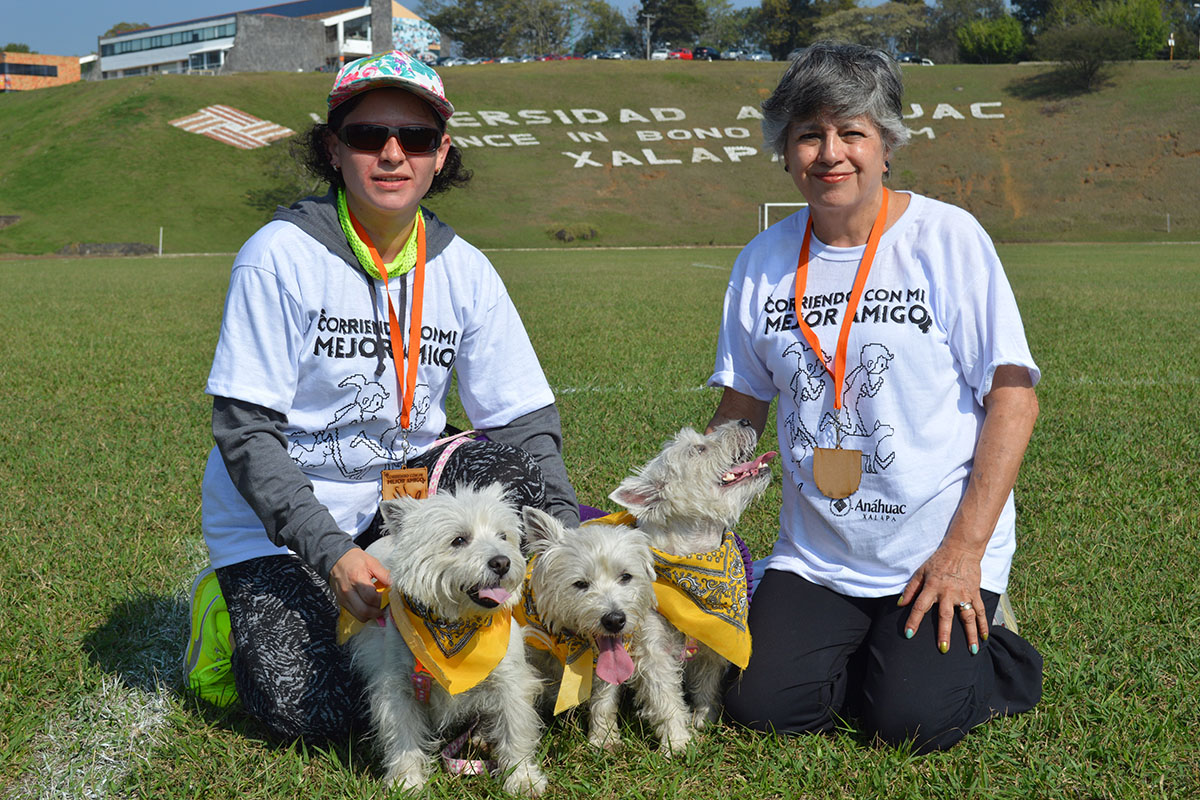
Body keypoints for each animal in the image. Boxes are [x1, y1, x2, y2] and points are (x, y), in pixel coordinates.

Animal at [345, 482, 547, 796]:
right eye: (459, 540)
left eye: (503, 536)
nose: (502, 562)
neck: (455, 626)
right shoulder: (397, 686)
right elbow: (402, 734)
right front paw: (406, 782)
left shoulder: (510, 681)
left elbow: (516, 728)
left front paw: (523, 778)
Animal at [518, 506, 696, 758]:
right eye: (580, 583)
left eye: (626, 576)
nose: (615, 620)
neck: (572, 641)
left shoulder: (646, 650)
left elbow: (651, 693)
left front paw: (676, 741)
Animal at [609, 422, 777, 729]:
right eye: (699, 449)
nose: (745, 422)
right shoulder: (654, 651)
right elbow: (665, 699)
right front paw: (677, 738)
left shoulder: (713, 640)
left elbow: (706, 683)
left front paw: (704, 718)